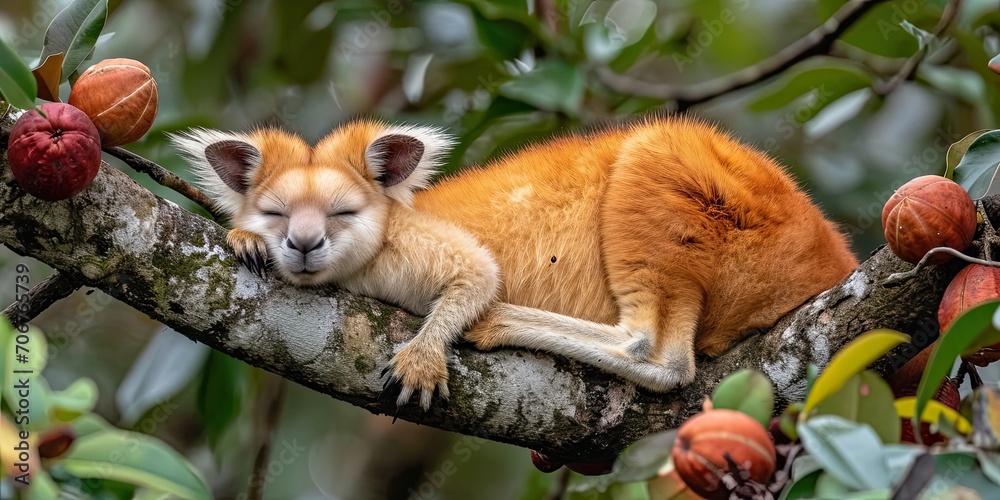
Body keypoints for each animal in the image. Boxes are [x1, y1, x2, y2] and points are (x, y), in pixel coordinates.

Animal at [170, 116, 858, 411]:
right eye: (276, 213)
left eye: (343, 213)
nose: (303, 244)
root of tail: (827, 254)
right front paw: (244, 241)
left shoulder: (408, 247)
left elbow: (478, 271)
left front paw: (428, 352)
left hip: (711, 203)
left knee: (659, 356)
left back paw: (498, 323)